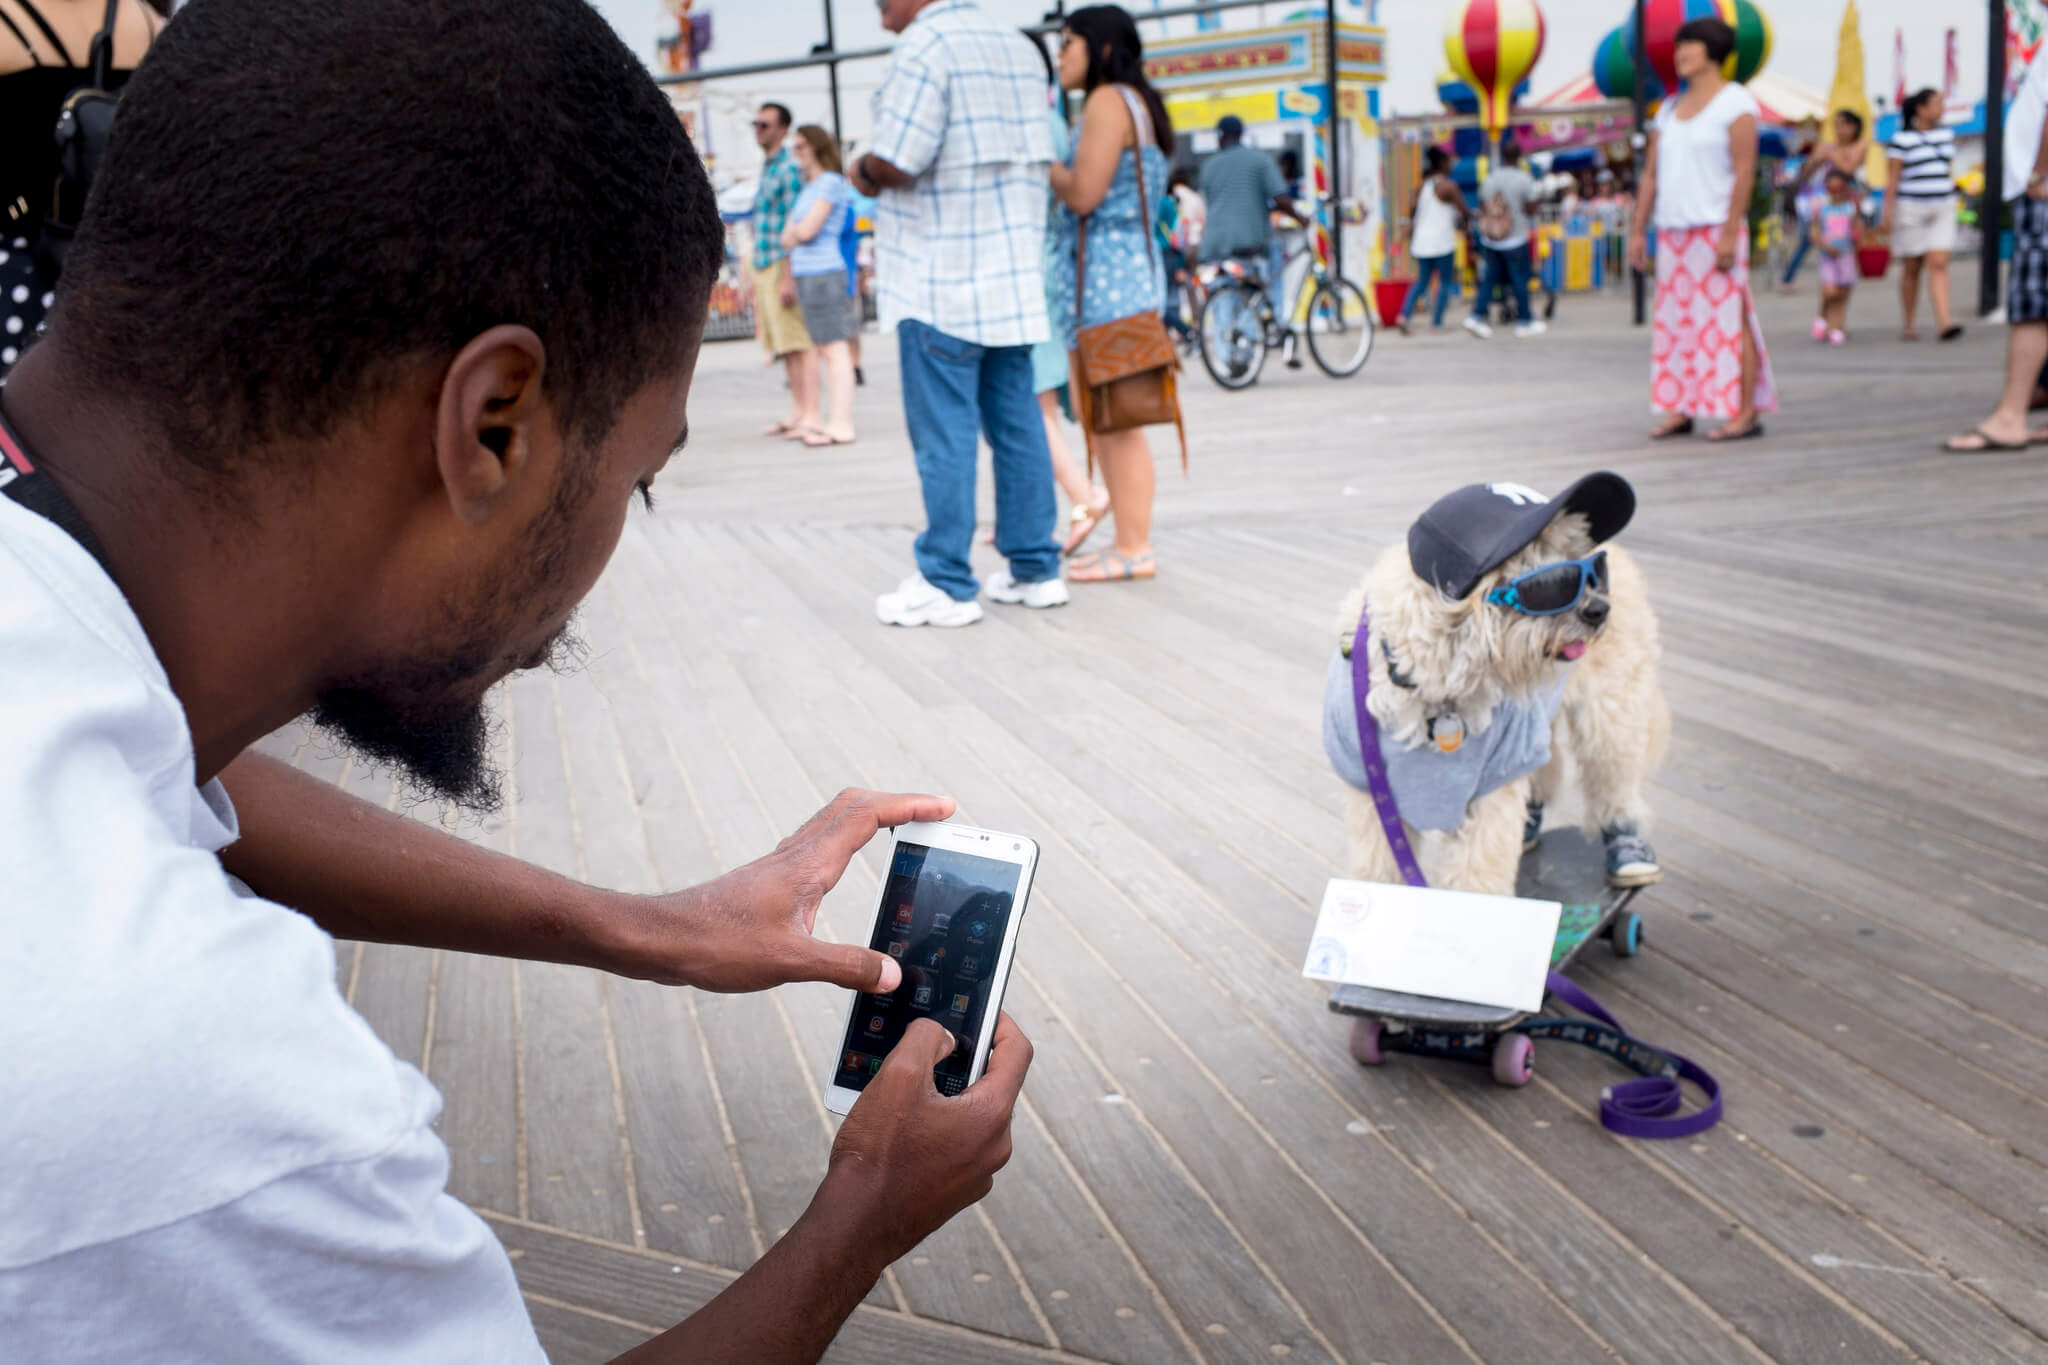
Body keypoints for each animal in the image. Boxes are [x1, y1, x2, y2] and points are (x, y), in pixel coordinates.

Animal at [1327, 474, 1662, 900]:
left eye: (1578, 561)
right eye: (1544, 583)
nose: (1600, 609)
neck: (1436, 692)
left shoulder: (1491, 798)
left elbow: (1478, 883)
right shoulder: (1375, 803)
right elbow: (1380, 875)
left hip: (1611, 716)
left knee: (1615, 785)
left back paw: (1627, 847)